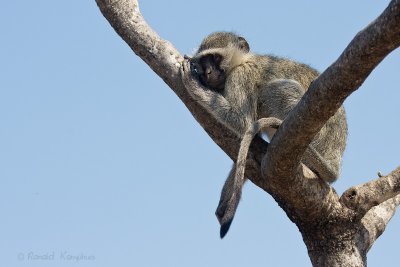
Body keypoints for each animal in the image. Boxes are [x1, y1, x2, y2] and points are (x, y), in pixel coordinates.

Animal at [181, 31, 346, 239]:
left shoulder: (241, 76)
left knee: (273, 90)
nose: (208, 72)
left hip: (317, 136)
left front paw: (192, 84)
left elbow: (242, 122)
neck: (243, 61)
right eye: (204, 61)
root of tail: (335, 160)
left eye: (215, 58)